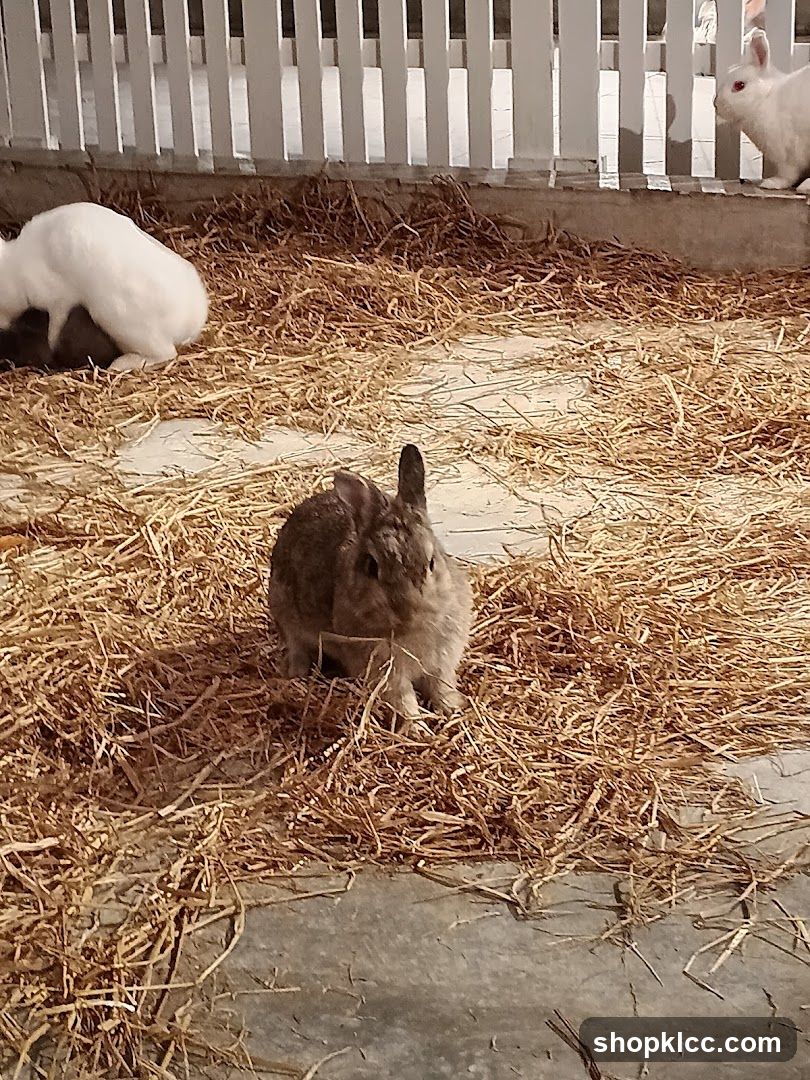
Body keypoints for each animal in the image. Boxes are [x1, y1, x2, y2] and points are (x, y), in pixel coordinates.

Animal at [0, 202, 208, 373]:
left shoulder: (57, 301)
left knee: (164, 353)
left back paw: (119, 364)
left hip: (118, 319)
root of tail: (193, 319)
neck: (14, 267)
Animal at [269, 444, 473, 721]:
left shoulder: (443, 660)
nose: (407, 612)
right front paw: (418, 726)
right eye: (371, 566)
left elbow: (441, 686)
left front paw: (452, 710)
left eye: (431, 562)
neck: (409, 631)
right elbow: (404, 700)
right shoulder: (384, 671)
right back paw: (296, 672)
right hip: (284, 612)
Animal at [714, 30, 810, 193]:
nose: (716, 104)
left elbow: (787, 175)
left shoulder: (787, 154)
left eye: (739, 85)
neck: (765, 99)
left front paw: (771, 183)